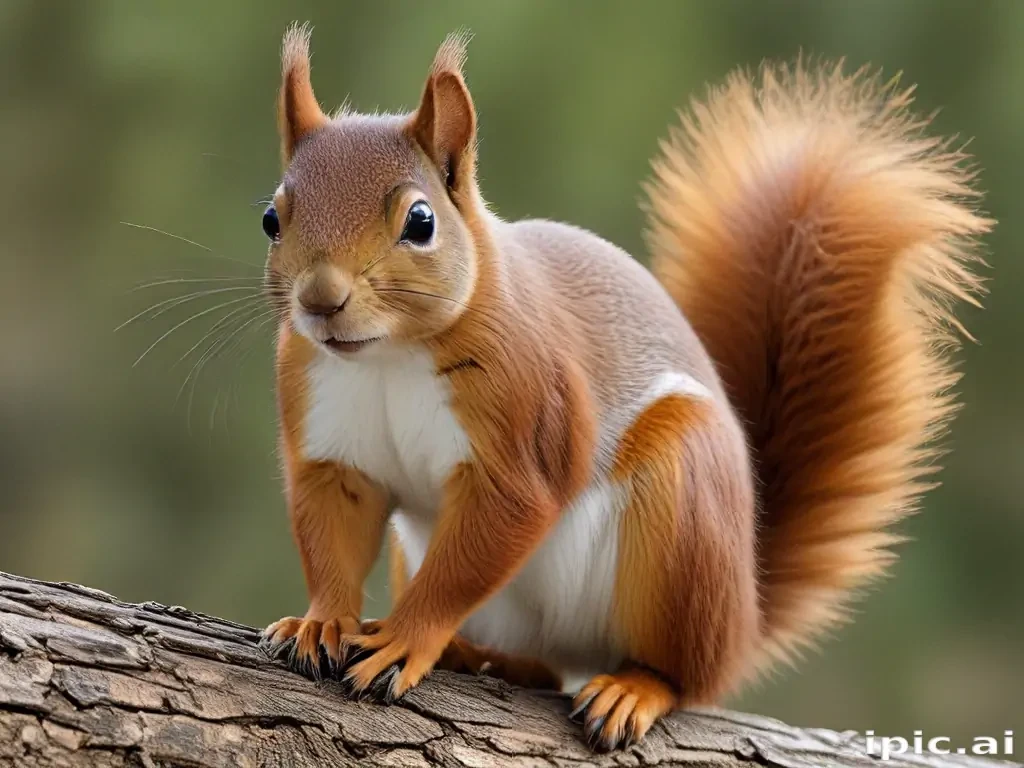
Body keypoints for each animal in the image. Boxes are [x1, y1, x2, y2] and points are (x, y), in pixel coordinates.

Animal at [258, 25, 990, 752]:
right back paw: (478, 654)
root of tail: (744, 618)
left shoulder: (529, 414)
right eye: (271, 217)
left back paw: (632, 688)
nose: (321, 299)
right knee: (540, 665)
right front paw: (321, 621)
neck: (387, 357)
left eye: (421, 222)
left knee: (681, 674)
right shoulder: (329, 442)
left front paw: (407, 638)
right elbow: (331, 533)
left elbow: (489, 534)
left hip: (683, 522)